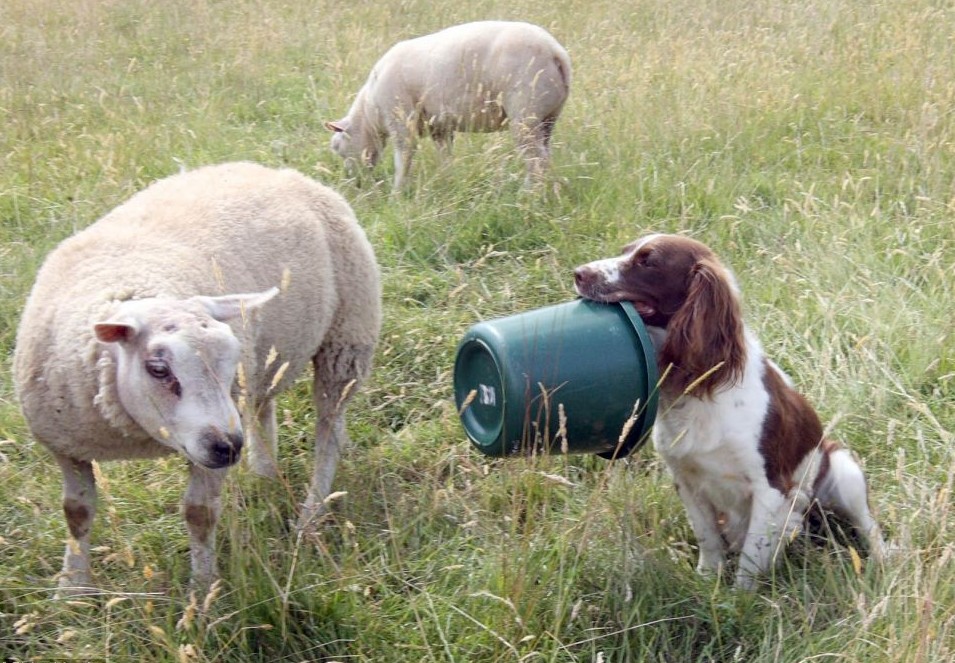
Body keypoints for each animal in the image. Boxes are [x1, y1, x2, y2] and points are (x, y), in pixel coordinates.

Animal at [13, 162, 380, 596]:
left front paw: (203, 592)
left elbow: (199, 514)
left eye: (228, 361)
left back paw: (311, 513)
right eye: (158, 369)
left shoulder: (210, 448)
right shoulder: (65, 444)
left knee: (329, 430)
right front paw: (72, 590)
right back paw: (264, 473)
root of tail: (278, 171)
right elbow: (76, 513)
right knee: (263, 405)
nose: (229, 447)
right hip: (268, 357)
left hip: (346, 340)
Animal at [324, 20, 572, 189]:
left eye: (337, 147)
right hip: (547, 116)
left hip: (525, 112)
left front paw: (397, 193)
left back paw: (529, 195)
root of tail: (556, 52)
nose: (354, 182)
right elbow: (445, 156)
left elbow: (404, 157)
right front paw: (447, 182)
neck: (370, 113)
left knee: (537, 160)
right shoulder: (439, 126)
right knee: (544, 154)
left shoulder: (401, 118)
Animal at [572, 236, 884, 588]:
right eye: (625, 251)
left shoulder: (770, 488)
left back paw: (886, 558)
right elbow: (707, 537)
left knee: (869, 526)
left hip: (844, 471)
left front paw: (740, 595)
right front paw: (709, 580)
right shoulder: (686, 479)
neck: (696, 390)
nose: (578, 273)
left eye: (647, 262)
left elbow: (751, 556)